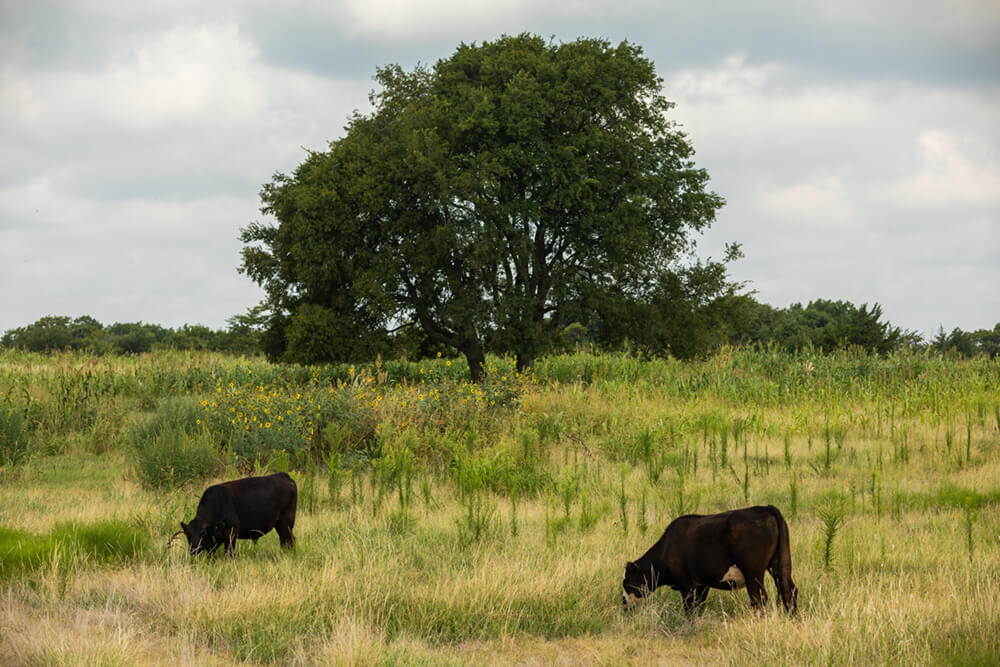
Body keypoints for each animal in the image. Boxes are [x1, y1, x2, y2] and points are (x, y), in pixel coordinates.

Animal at [620, 506, 800, 616]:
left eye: (627, 583)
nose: (623, 602)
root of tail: (765, 508)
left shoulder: (685, 584)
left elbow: (689, 608)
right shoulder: (702, 584)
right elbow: (699, 605)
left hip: (753, 573)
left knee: (759, 598)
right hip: (781, 566)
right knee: (789, 591)